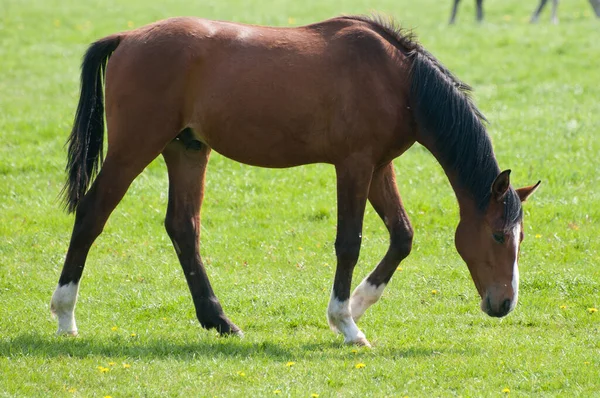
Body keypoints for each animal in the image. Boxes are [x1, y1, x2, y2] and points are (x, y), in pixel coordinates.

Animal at [50, 15, 540, 346]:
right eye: (498, 235)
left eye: (519, 238)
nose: (504, 304)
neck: (399, 80)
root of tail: (127, 38)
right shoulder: (354, 165)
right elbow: (349, 242)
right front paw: (345, 322)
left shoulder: (380, 167)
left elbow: (402, 236)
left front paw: (357, 304)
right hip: (135, 147)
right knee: (92, 214)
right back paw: (65, 315)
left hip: (187, 150)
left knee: (183, 228)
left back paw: (219, 320)